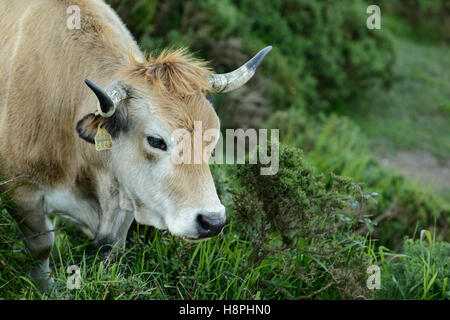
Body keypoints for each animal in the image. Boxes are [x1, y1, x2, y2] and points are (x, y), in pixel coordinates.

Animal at [0, 0, 270, 290]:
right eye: (156, 141)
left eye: (212, 141)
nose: (212, 221)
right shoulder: (22, 193)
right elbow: (42, 246)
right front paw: (46, 286)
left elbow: (110, 250)